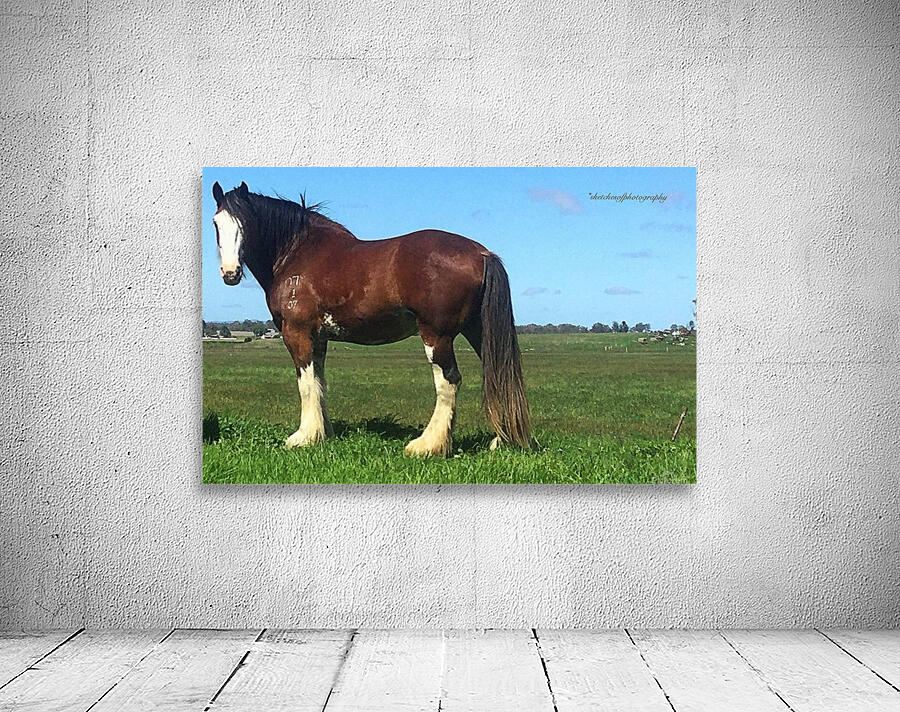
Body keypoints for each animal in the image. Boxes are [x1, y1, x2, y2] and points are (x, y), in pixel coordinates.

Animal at [211, 181, 531, 457]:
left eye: (246, 223)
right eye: (216, 223)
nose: (230, 273)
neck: (297, 254)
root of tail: (482, 254)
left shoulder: (297, 333)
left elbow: (306, 383)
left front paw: (303, 437)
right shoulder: (319, 338)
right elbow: (320, 383)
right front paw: (322, 433)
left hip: (437, 336)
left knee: (449, 382)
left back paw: (427, 445)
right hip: (478, 331)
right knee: (497, 374)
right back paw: (501, 440)